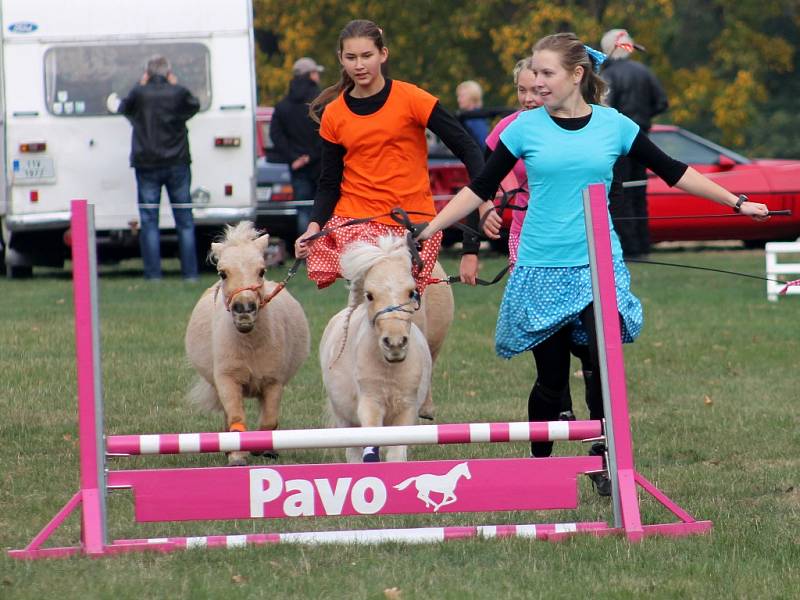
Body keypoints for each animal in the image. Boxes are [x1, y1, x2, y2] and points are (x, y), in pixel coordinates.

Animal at [184, 223, 310, 466]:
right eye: (223, 273)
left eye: (262, 270)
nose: (244, 310)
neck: (250, 344)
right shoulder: (227, 380)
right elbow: (235, 416)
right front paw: (237, 456)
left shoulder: (273, 382)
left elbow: (269, 421)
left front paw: (262, 449)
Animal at [320, 237, 456, 462]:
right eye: (369, 295)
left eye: (411, 292)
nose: (395, 343)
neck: (389, 369)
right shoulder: (370, 404)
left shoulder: (406, 409)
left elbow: (396, 454)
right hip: (344, 418)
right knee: (353, 451)